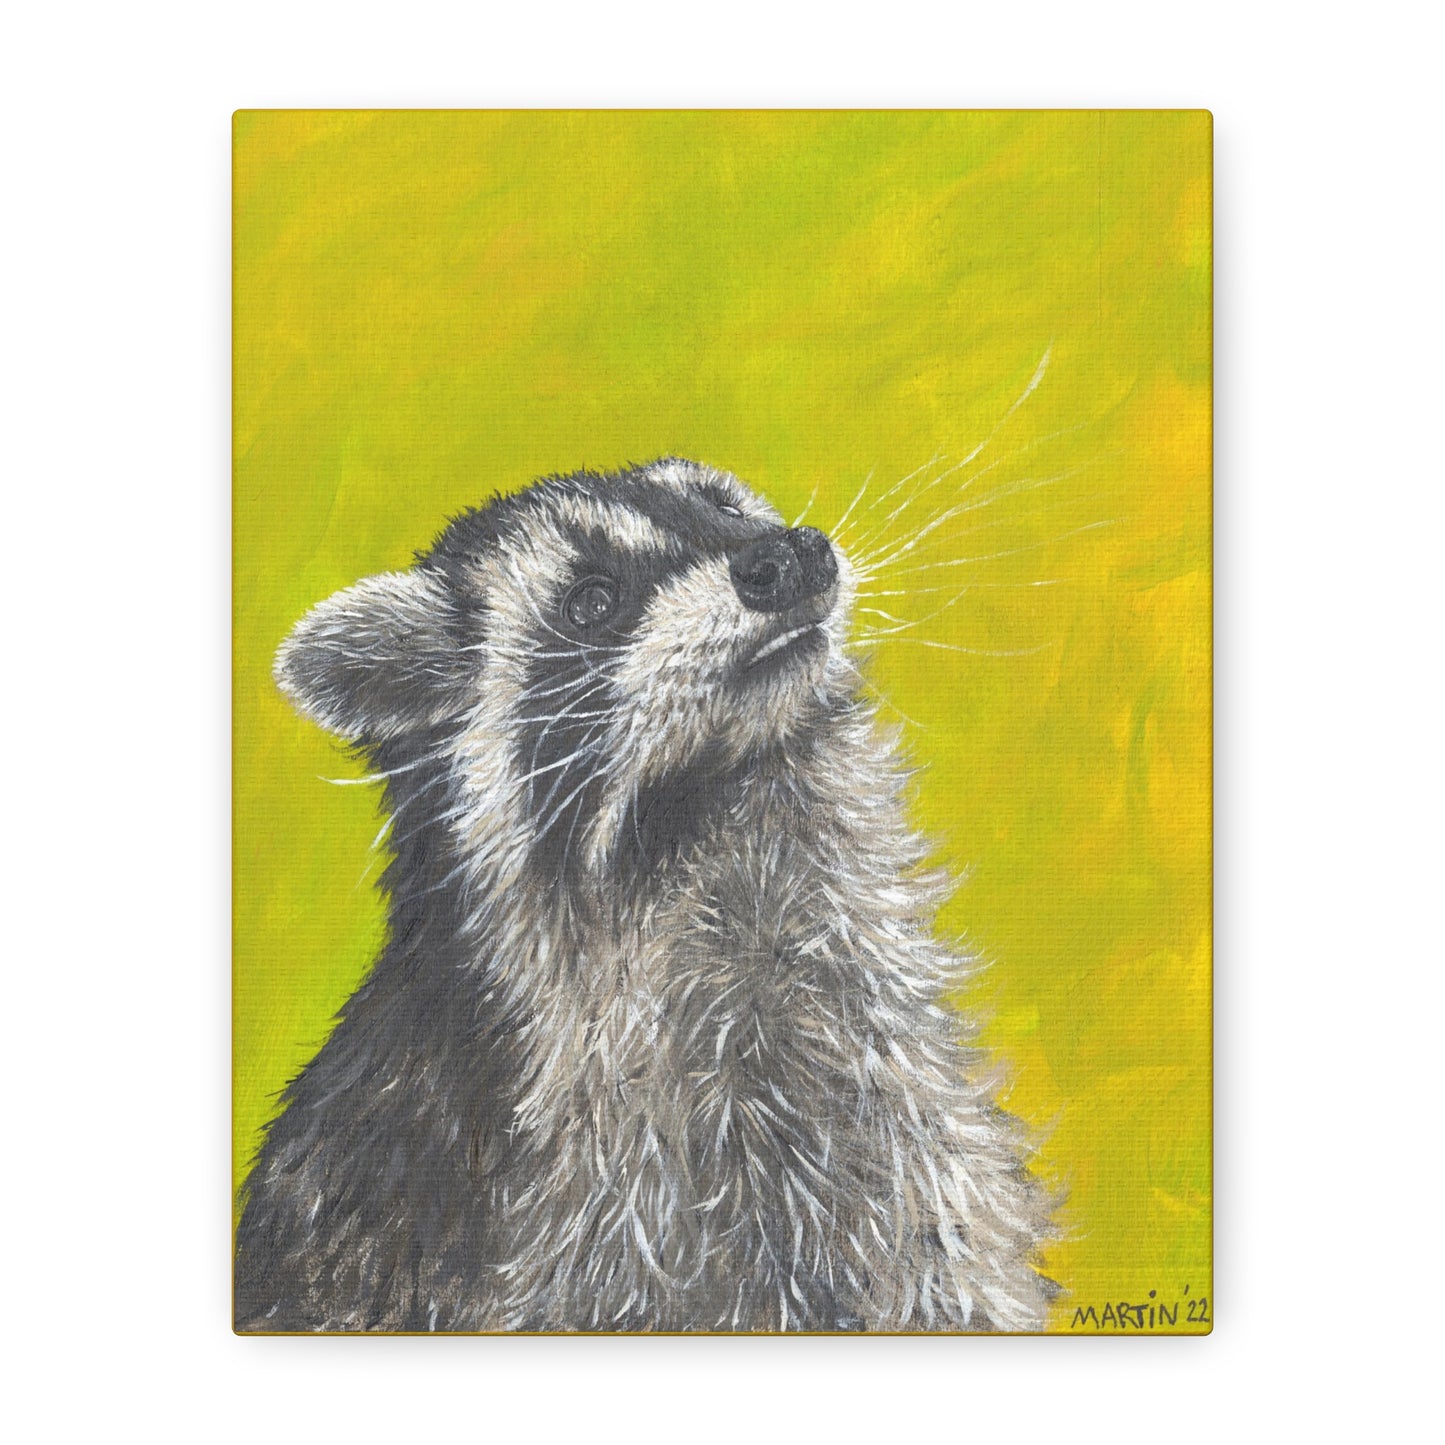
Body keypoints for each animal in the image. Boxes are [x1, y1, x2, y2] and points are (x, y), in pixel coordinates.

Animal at [234, 457, 1056, 1332]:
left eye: (727, 509)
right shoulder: (567, 1212)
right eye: (592, 600)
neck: (715, 810)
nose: (789, 554)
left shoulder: (907, 1146)